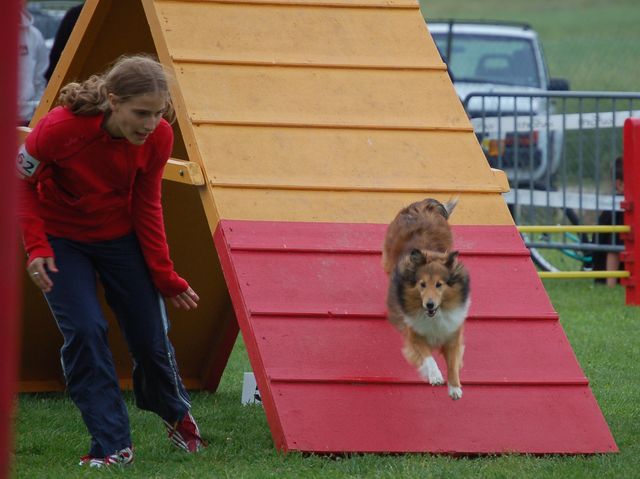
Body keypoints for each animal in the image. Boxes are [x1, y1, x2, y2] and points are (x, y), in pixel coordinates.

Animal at [384, 197, 470, 400]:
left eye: (440, 285)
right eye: (421, 285)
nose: (429, 305)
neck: (434, 316)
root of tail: (422, 205)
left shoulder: (453, 333)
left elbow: (453, 361)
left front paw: (454, 387)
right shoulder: (414, 334)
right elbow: (427, 356)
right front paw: (435, 375)